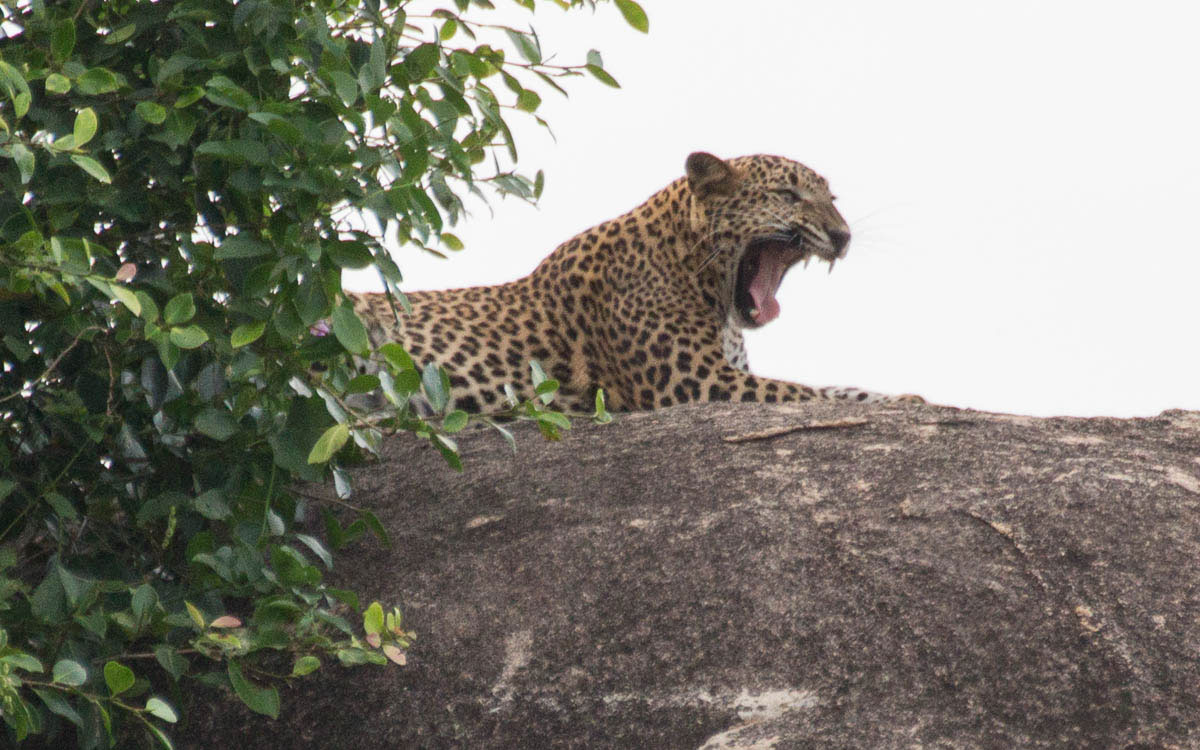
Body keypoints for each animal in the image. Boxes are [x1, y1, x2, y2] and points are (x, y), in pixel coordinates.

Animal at [349, 152, 920, 413]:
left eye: (833, 200)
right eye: (787, 195)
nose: (842, 236)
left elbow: (836, 388)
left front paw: (906, 399)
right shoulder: (698, 384)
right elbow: (803, 392)